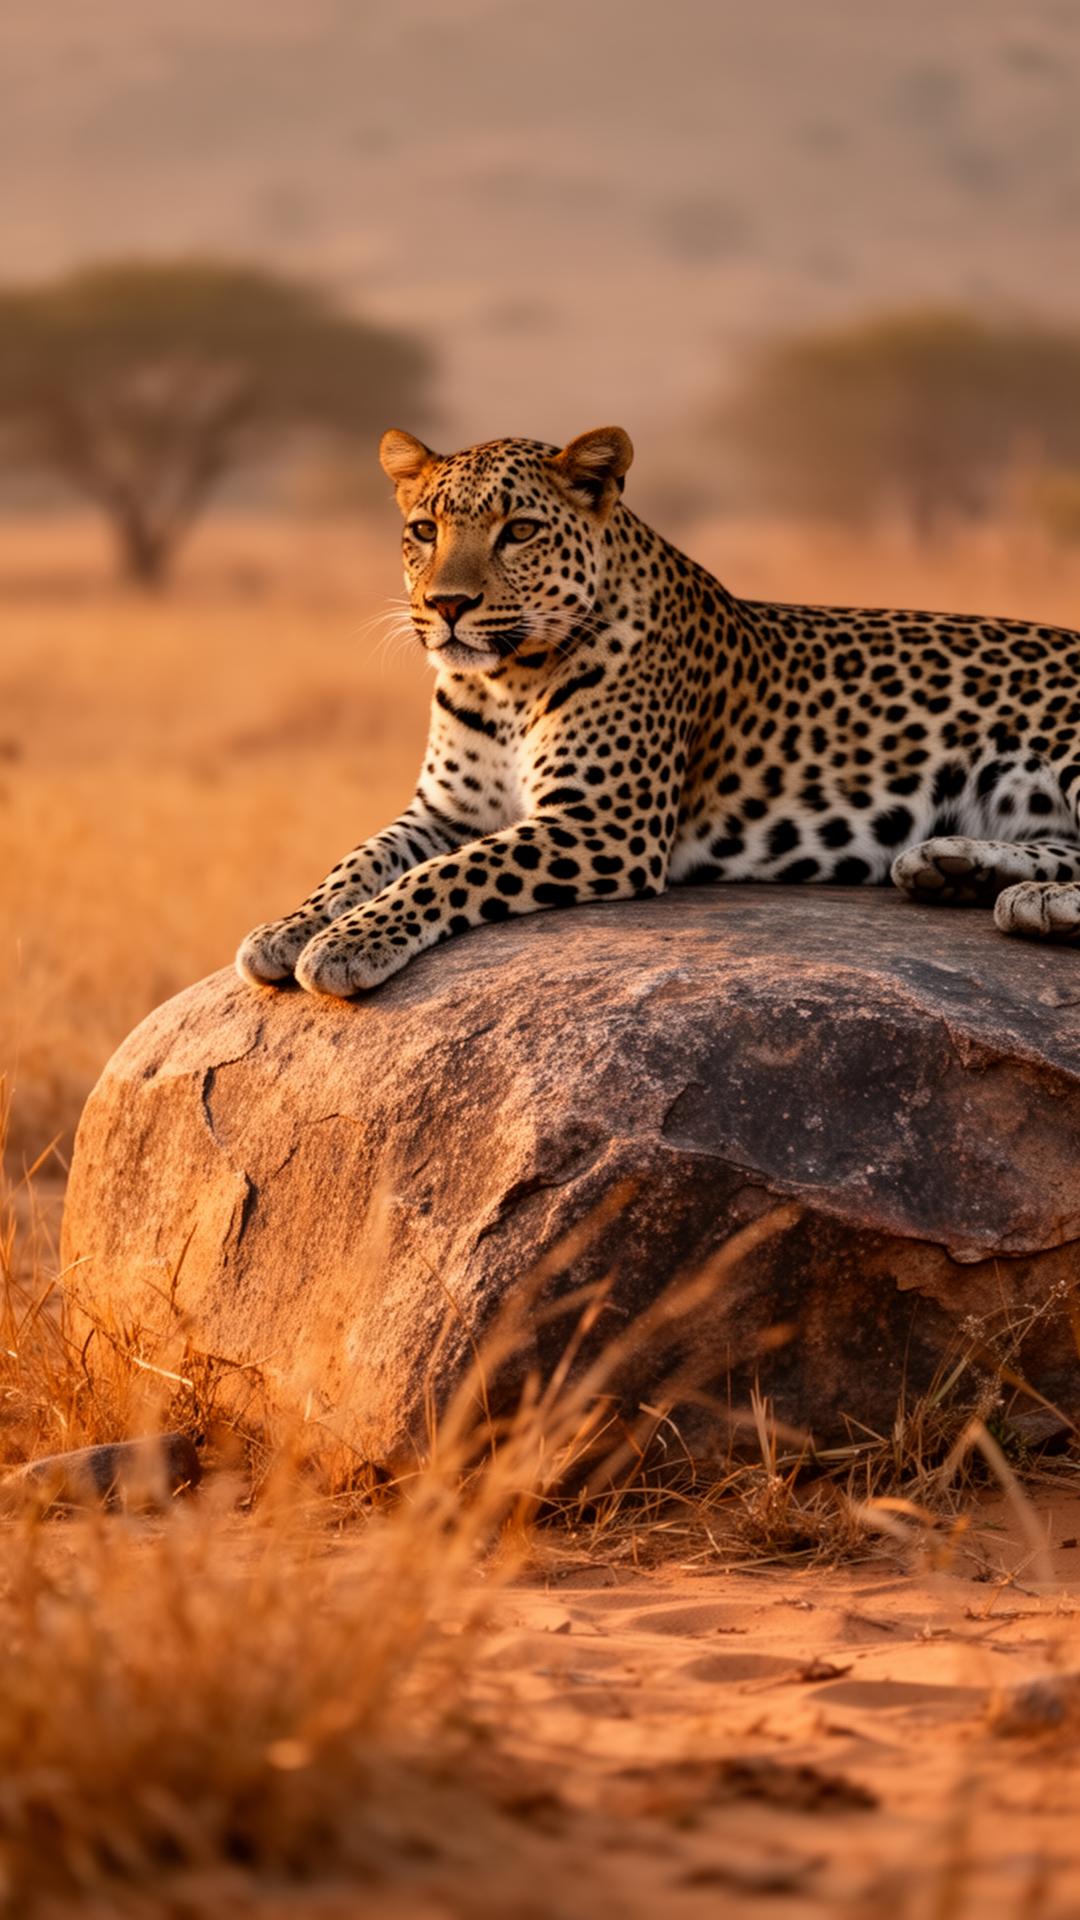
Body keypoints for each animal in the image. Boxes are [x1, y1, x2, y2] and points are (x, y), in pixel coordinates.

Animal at [237, 424, 1080, 999]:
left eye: (519, 531)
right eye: (423, 530)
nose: (446, 605)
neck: (504, 683)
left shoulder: (605, 822)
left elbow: (446, 872)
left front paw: (348, 944)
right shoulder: (443, 810)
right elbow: (360, 859)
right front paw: (287, 929)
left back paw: (1030, 901)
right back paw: (957, 869)